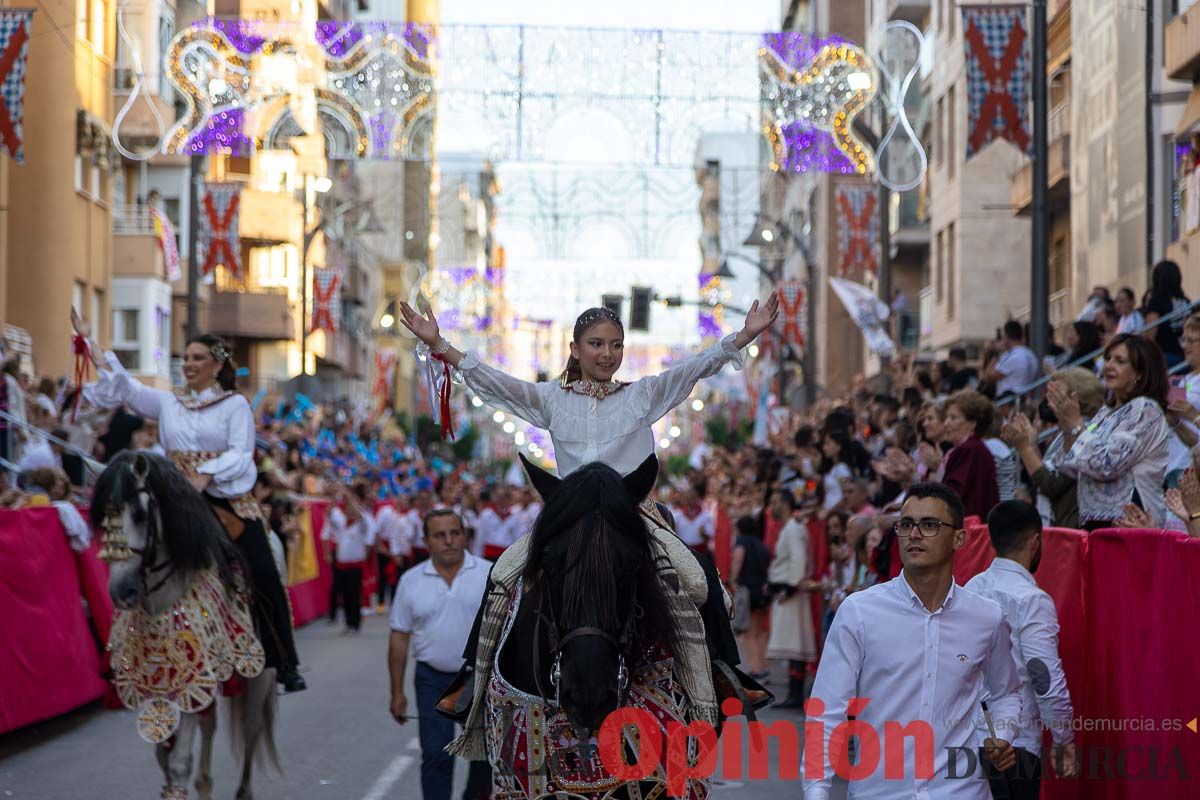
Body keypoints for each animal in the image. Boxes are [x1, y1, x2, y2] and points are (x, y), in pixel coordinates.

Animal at [95, 453, 278, 796]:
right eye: (103, 520)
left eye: (140, 515)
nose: (122, 592)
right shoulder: (158, 687)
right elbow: (163, 756)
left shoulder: (192, 678)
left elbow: (179, 762)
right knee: (211, 728)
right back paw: (206, 785)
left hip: (262, 674)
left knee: (251, 727)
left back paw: (242, 791)